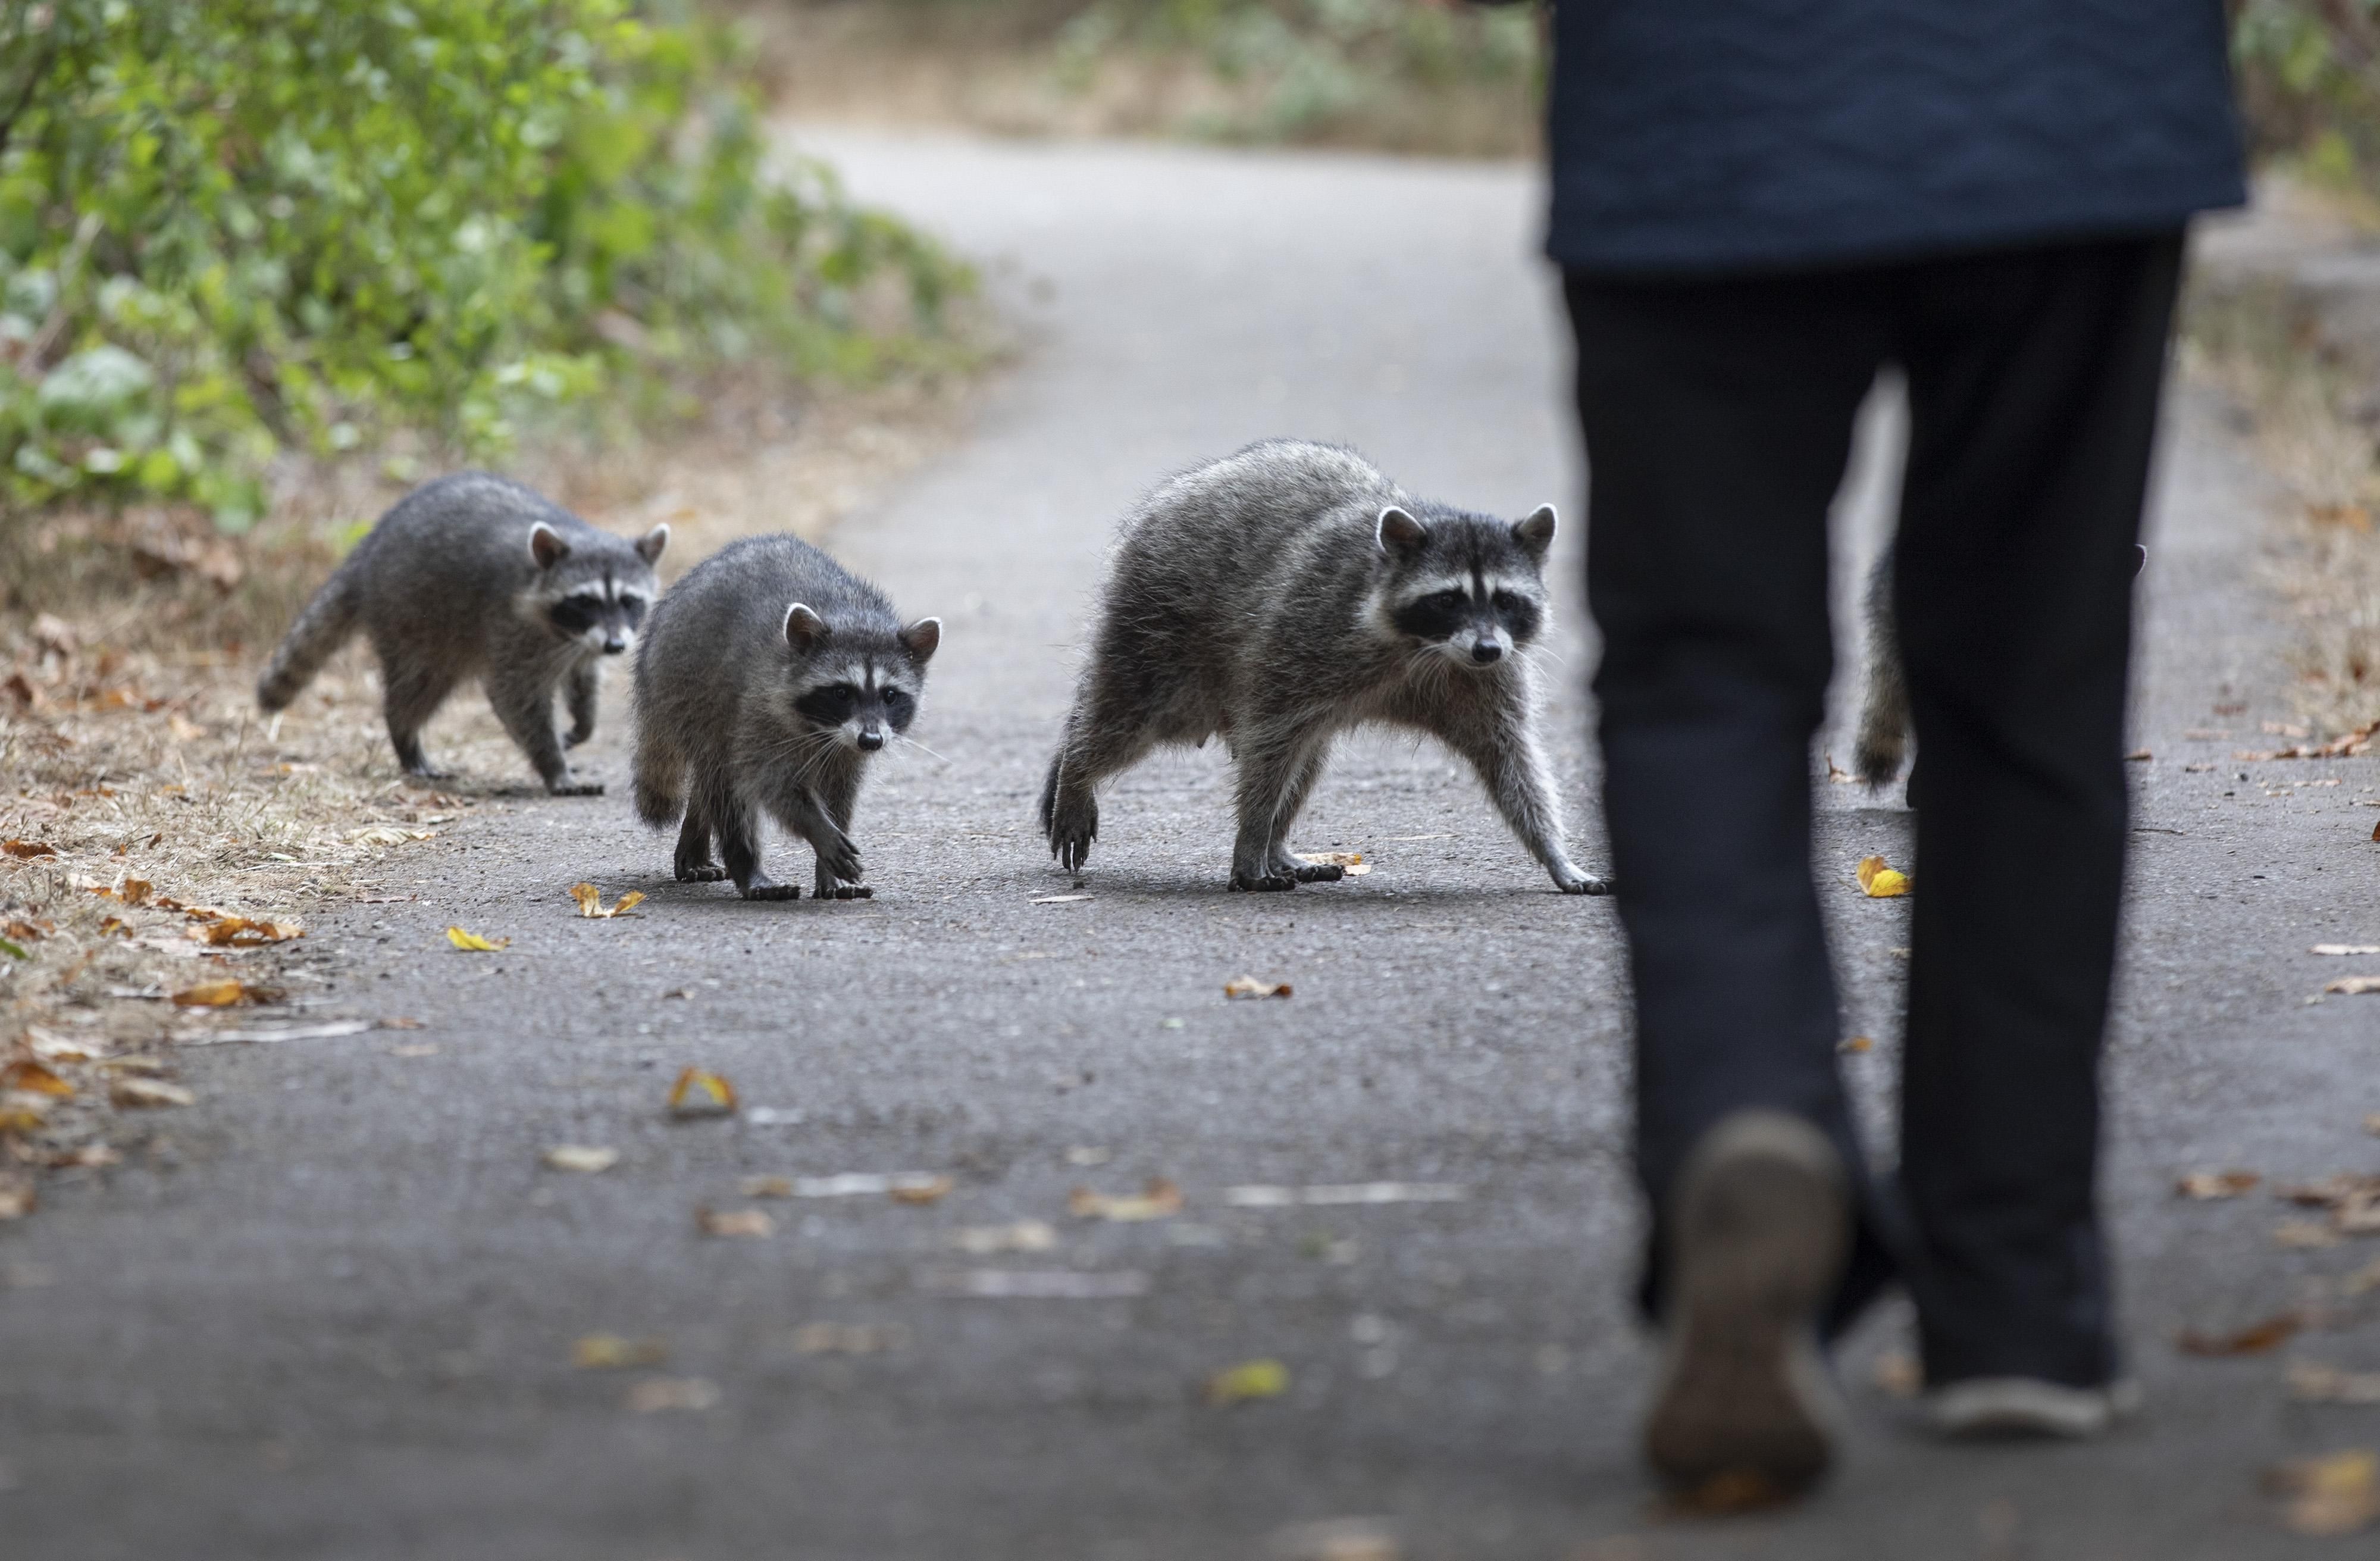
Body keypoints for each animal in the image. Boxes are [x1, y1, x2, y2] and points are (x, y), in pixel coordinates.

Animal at [257, 472, 665, 793]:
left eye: (629, 601)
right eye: (585, 602)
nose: (616, 645)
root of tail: (368, 552)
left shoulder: (584, 647)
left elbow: (584, 682)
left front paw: (581, 727)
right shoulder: (511, 627)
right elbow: (515, 697)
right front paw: (553, 765)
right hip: (412, 614)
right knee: (418, 686)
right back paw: (404, 734)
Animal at [633, 534, 940, 902]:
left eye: (890, 695)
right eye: (842, 693)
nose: (871, 741)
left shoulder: (849, 749)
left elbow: (841, 793)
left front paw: (828, 863)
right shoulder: (759, 707)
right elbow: (770, 779)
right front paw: (818, 828)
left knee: (710, 783)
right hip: (688, 688)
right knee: (724, 779)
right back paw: (748, 867)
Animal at [1040, 440, 1609, 894]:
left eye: (1507, 600)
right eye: (1448, 599)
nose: (1487, 648)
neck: (1426, 649)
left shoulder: (1486, 679)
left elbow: (1510, 758)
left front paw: (1556, 855)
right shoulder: (1306, 633)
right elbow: (1269, 746)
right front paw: (1250, 841)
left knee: (1308, 758)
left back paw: (1281, 846)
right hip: (1160, 628)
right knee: (1128, 718)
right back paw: (1080, 770)